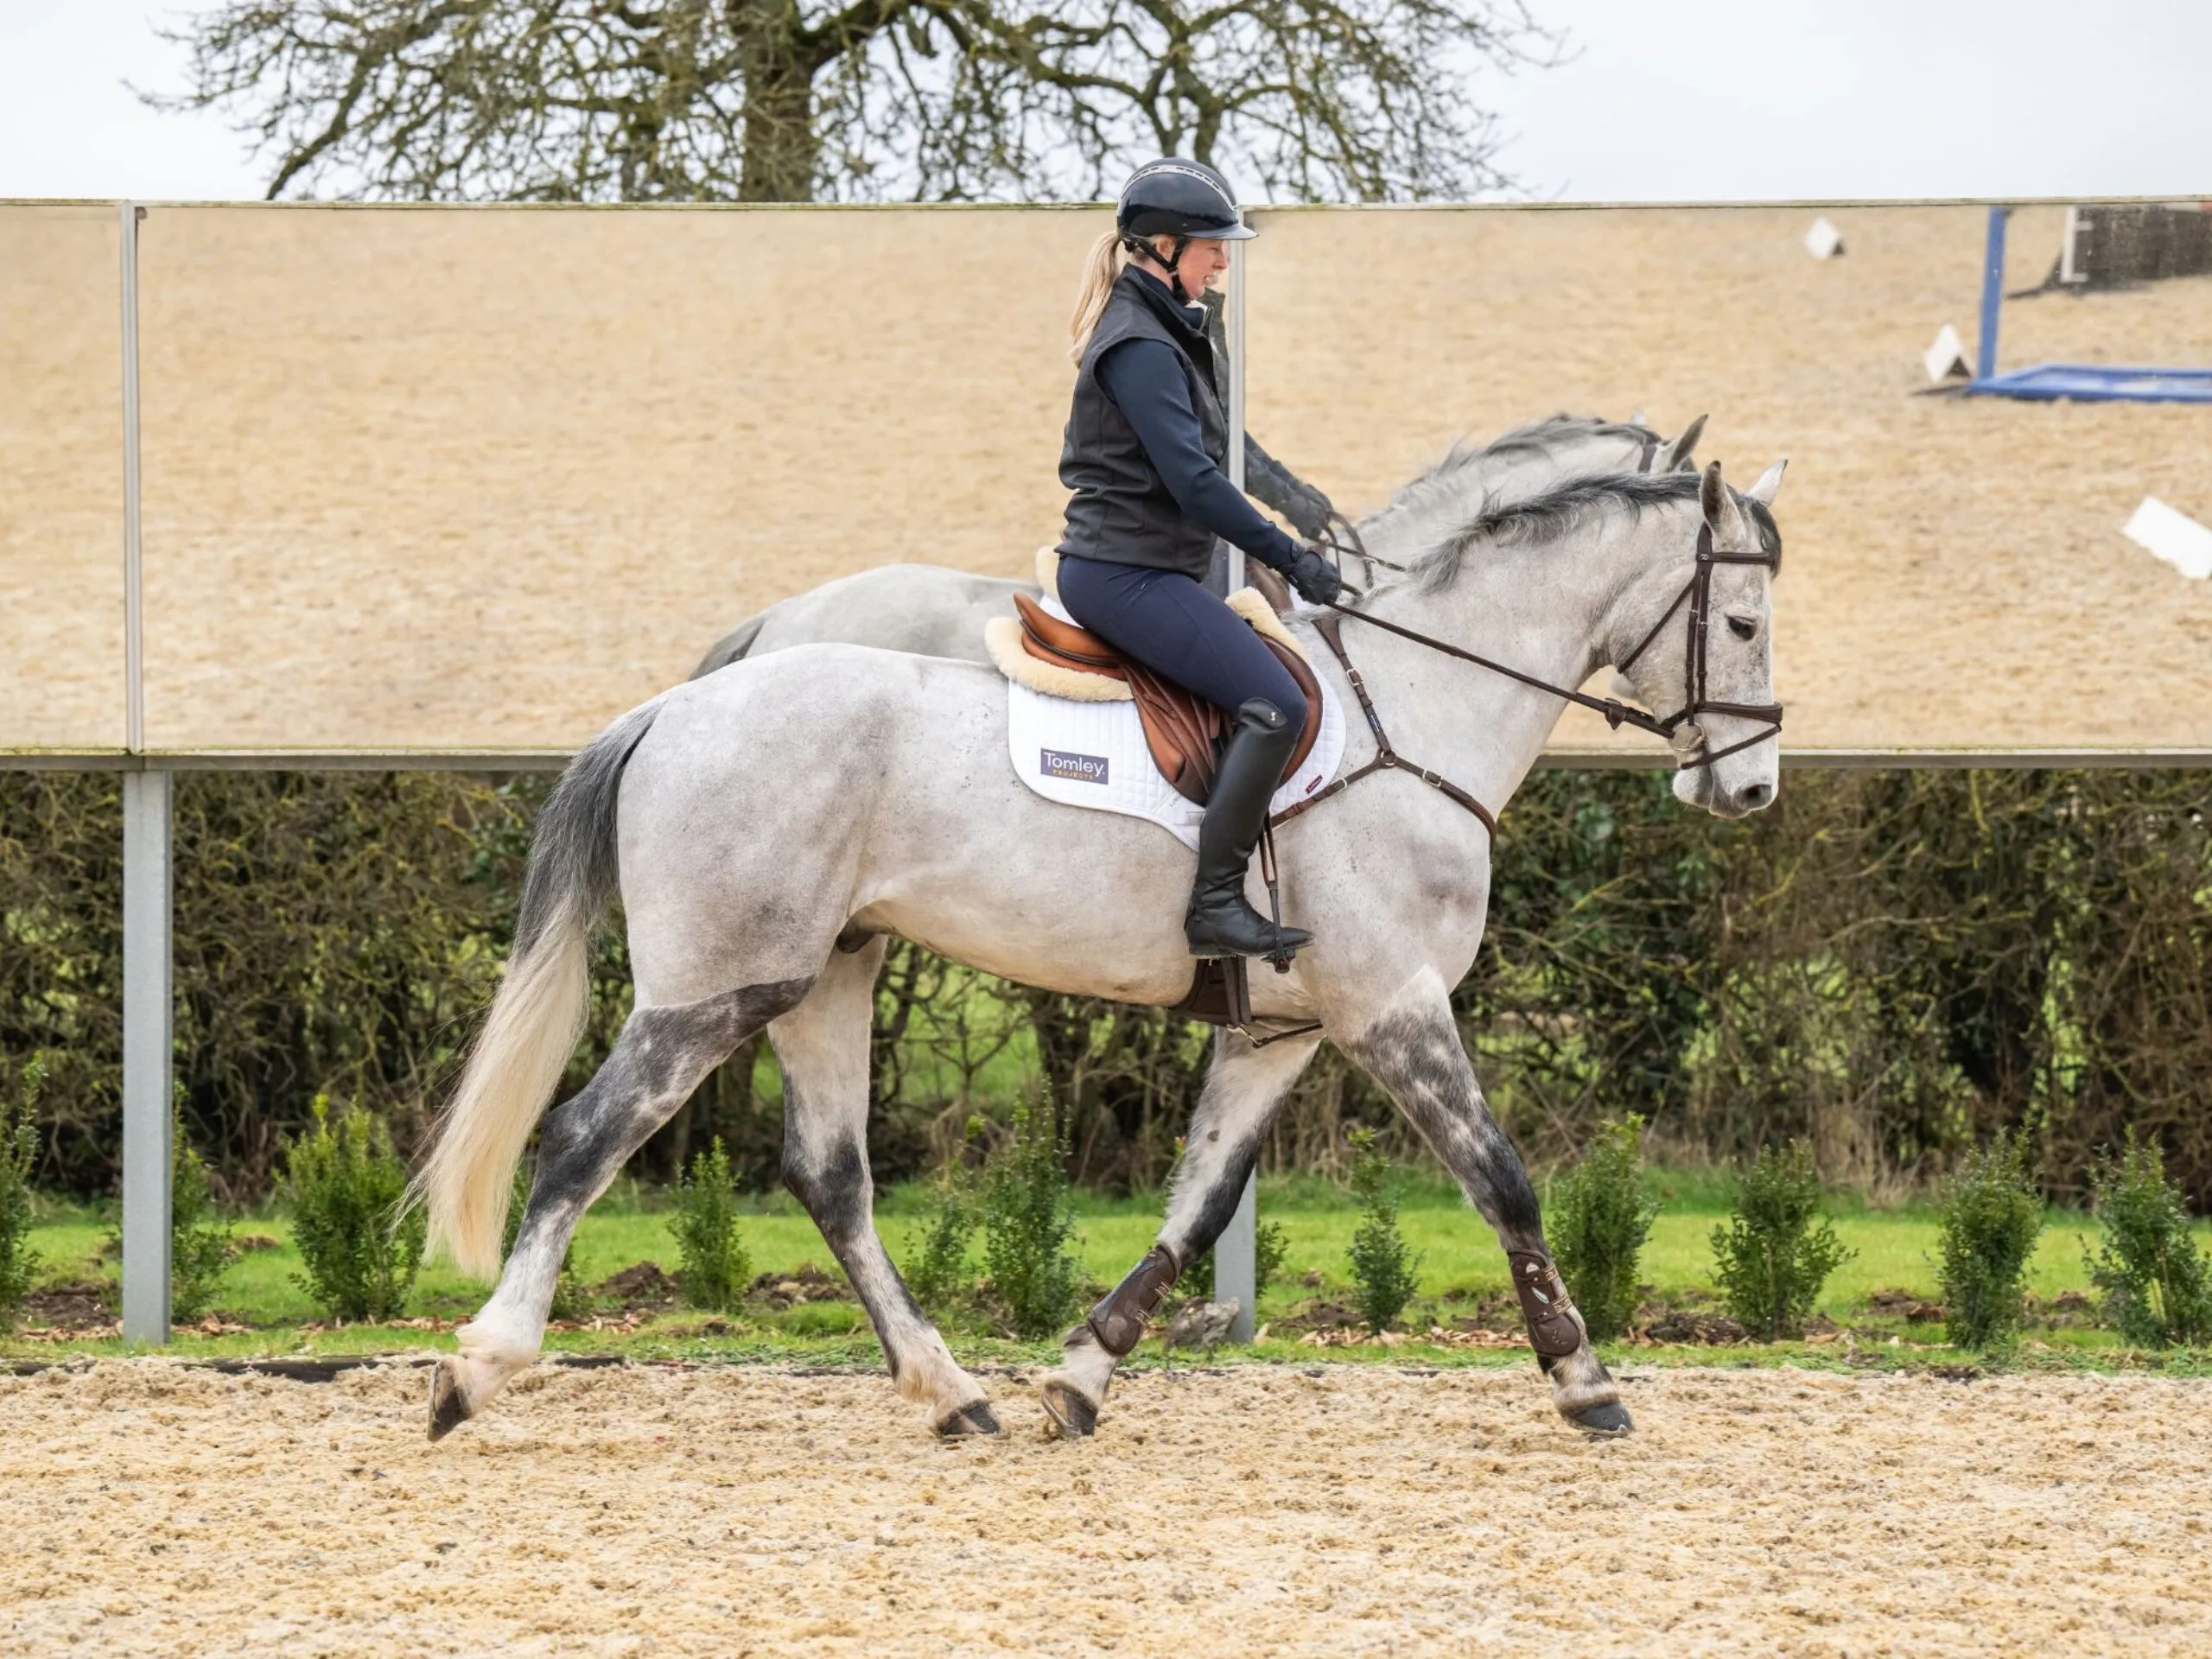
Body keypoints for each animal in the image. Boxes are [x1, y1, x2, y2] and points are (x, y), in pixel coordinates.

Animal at [417, 459, 1786, 1446]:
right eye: (1740, 619)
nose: (1753, 790)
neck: (1415, 714)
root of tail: (670, 709)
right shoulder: (1391, 1006)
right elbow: (1503, 1181)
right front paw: (1584, 1381)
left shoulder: (1283, 1028)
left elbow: (1201, 1202)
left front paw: (1079, 1376)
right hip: (715, 989)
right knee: (585, 1136)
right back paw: (478, 1368)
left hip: (823, 975)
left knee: (830, 1176)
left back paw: (953, 1394)